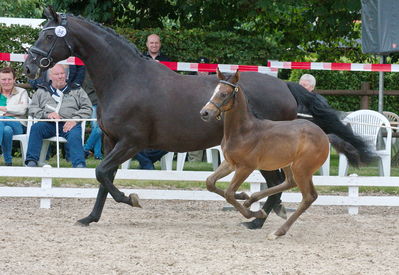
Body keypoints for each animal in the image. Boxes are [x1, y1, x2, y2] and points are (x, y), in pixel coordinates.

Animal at [202, 69, 330, 239]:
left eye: (224, 94)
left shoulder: (246, 167)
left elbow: (229, 193)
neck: (243, 131)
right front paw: (244, 196)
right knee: (291, 183)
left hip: (301, 168)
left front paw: (254, 213)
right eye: (214, 91)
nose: (205, 112)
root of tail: (324, 136)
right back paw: (252, 199)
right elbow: (210, 182)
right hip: (291, 165)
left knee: (307, 197)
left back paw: (277, 231)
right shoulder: (229, 163)